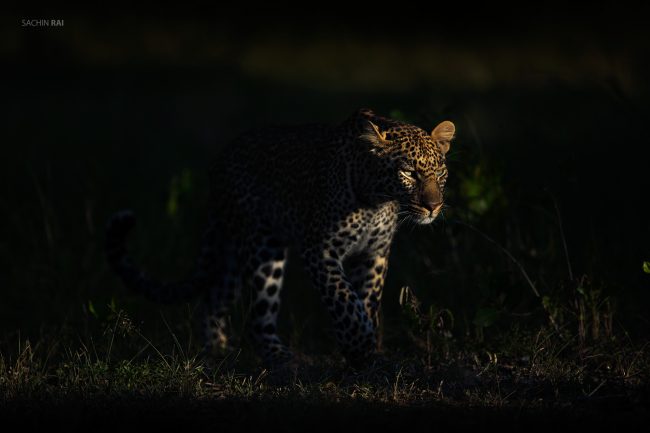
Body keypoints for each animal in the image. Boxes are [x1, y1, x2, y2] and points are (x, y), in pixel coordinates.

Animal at [106, 108, 455, 367]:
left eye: (439, 172)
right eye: (408, 173)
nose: (433, 206)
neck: (376, 199)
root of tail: (218, 163)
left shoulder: (374, 254)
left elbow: (365, 300)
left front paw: (362, 352)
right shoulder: (320, 251)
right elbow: (344, 300)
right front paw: (360, 346)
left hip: (233, 253)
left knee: (214, 299)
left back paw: (219, 352)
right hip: (263, 246)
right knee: (256, 320)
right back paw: (281, 358)